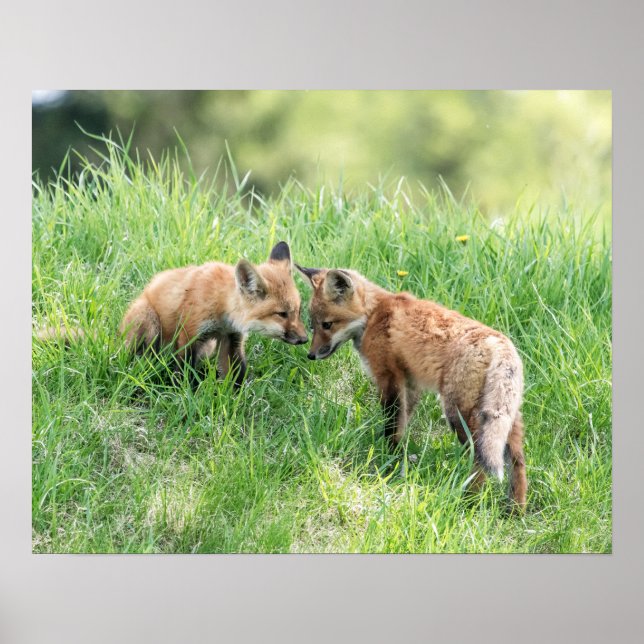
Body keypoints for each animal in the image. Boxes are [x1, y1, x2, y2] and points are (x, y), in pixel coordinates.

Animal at [38, 242, 308, 387]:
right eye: (282, 314)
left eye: (297, 311)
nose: (305, 339)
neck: (221, 304)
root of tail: (117, 337)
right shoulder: (189, 335)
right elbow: (185, 373)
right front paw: (188, 395)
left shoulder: (231, 338)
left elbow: (235, 374)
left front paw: (235, 400)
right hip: (148, 323)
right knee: (134, 358)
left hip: (206, 347)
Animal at [296, 264, 527, 508]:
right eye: (312, 325)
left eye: (327, 324)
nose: (310, 355)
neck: (373, 315)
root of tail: (500, 344)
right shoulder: (411, 385)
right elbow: (402, 424)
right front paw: (398, 457)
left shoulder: (389, 377)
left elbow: (392, 424)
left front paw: (387, 460)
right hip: (505, 419)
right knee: (518, 463)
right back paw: (515, 509)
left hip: (458, 414)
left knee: (479, 458)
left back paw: (469, 500)